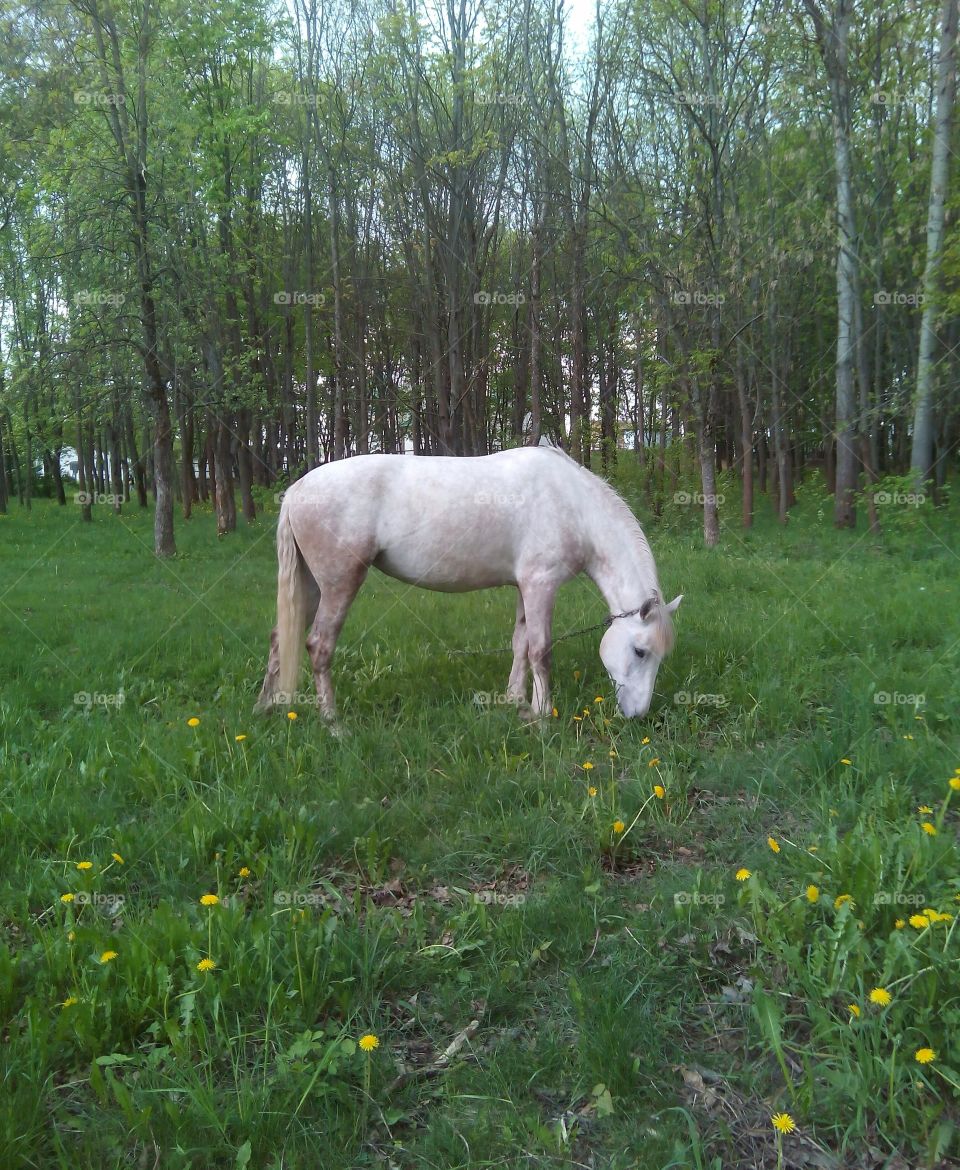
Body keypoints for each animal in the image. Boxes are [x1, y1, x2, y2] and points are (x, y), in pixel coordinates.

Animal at [251, 446, 678, 720]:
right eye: (640, 651)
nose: (637, 716)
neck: (573, 505)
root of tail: (296, 492)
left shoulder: (524, 587)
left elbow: (520, 644)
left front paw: (514, 700)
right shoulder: (541, 585)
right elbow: (540, 650)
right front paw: (542, 716)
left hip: (311, 585)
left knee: (280, 637)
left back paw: (265, 707)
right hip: (340, 584)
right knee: (318, 645)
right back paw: (333, 723)